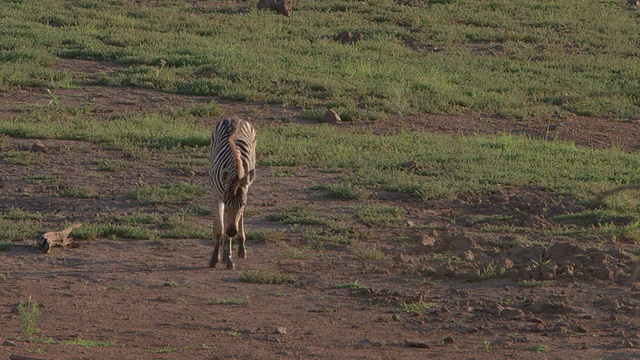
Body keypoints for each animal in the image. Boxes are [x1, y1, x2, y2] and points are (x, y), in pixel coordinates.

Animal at [205, 118, 255, 270]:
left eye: (242, 204)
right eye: (226, 205)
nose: (233, 231)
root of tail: (236, 118)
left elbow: (229, 230)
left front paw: (228, 259)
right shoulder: (214, 194)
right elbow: (219, 229)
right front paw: (214, 259)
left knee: (240, 220)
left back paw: (241, 248)